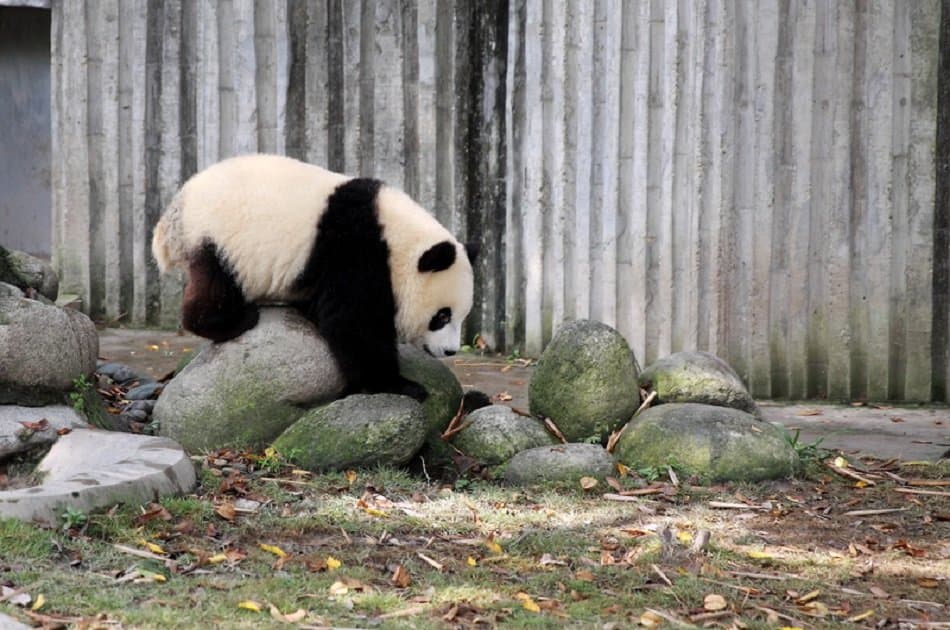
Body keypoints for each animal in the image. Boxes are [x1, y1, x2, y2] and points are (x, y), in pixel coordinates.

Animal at [151, 154, 476, 401]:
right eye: (442, 316)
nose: (450, 351)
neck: (397, 239)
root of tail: (174, 212)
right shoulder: (357, 251)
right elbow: (353, 324)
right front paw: (398, 385)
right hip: (219, 240)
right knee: (216, 287)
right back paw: (233, 321)